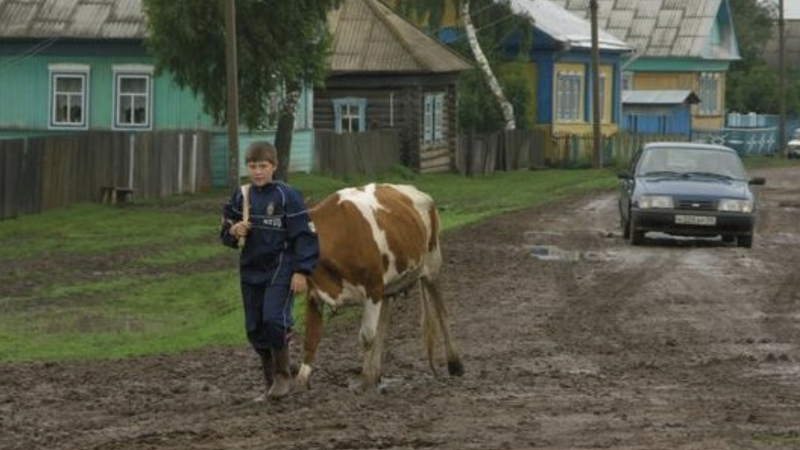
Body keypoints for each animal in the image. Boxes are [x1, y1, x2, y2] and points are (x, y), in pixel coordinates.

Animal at [296, 181, 466, 392]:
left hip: (432, 264)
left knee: (441, 311)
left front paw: (365, 379)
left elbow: (368, 336)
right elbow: (310, 339)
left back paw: (455, 364)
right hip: (389, 285)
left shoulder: (373, 287)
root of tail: (415, 190)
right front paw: (299, 384)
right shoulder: (315, 294)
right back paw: (377, 373)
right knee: (384, 322)